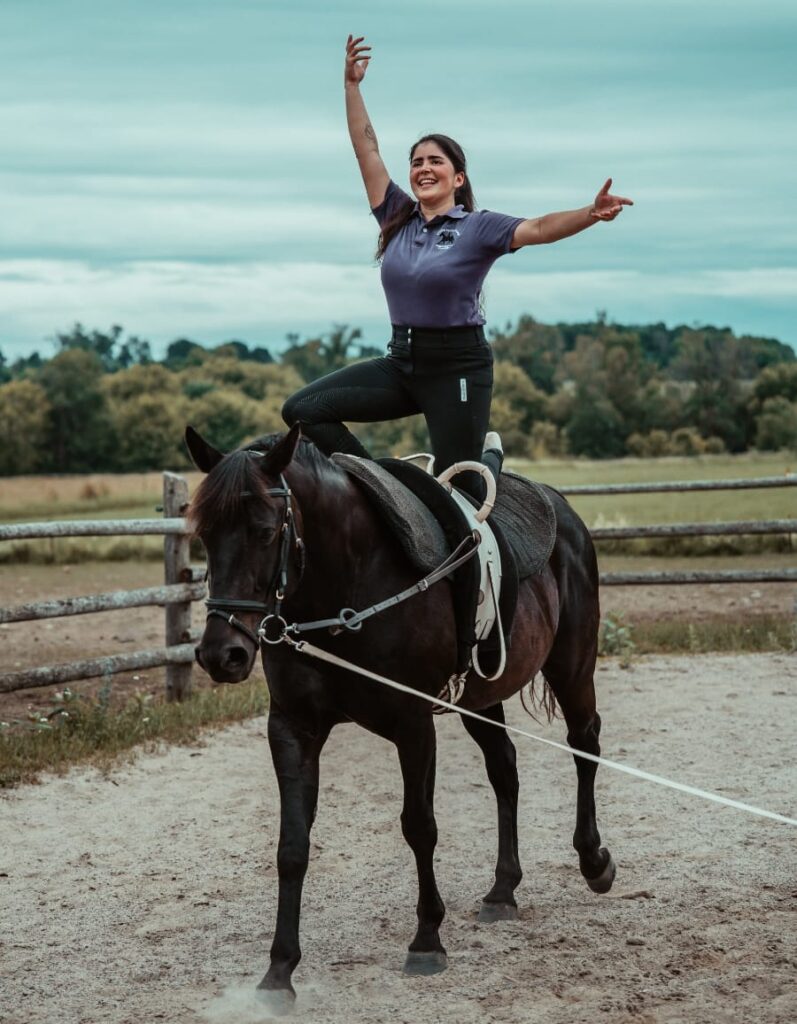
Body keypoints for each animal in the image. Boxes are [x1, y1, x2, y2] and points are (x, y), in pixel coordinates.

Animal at [186, 423, 614, 1007]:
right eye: (204, 535)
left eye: (265, 530)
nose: (220, 654)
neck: (342, 588)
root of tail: (563, 510)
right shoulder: (293, 729)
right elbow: (292, 845)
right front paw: (279, 971)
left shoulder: (413, 726)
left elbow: (419, 827)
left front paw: (427, 940)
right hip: (481, 695)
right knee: (504, 768)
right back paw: (503, 890)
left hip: (571, 665)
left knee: (584, 744)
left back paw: (594, 861)